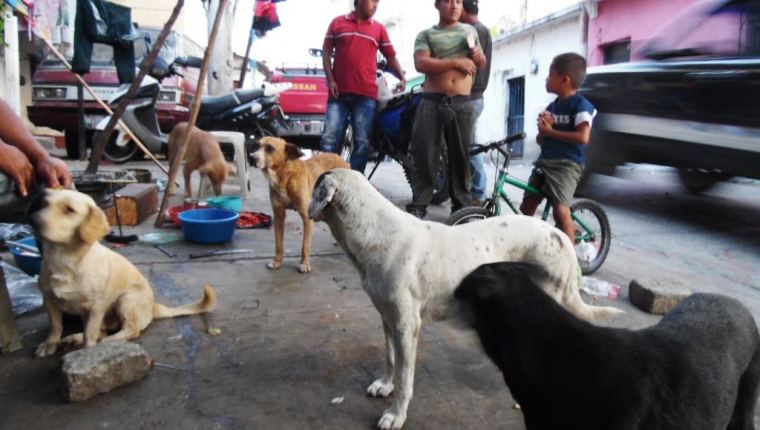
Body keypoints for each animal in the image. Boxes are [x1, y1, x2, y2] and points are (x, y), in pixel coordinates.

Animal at [30, 190, 217, 358]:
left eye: (69, 210)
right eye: (44, 204)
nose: (33, 221)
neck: (64, 261)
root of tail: (153, 306)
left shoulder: (95, 308)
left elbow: (89, 335)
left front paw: (89, 353)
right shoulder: (49, 301)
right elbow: (55, 327)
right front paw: (50, 343)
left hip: (126, 300)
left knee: (130, 331)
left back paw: (106, 343)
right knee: (103, 331)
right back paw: (74, 339)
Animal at [249, 136, 350, 274]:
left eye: (270, 148)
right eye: (256, 146)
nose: (251, 157)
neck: (284, 178)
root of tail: (339, 158)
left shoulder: (307, 217)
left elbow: (305, 245)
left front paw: (304, 264)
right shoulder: (279, 216)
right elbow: (279, 244)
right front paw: (277, 261)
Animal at [308, 169, 624, 430]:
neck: (375, 232)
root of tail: (562, 235)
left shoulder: (407, 326)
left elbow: (405, 377)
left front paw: (396, 415)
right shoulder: (388, 317)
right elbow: (390, 358)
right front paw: (385, 385)